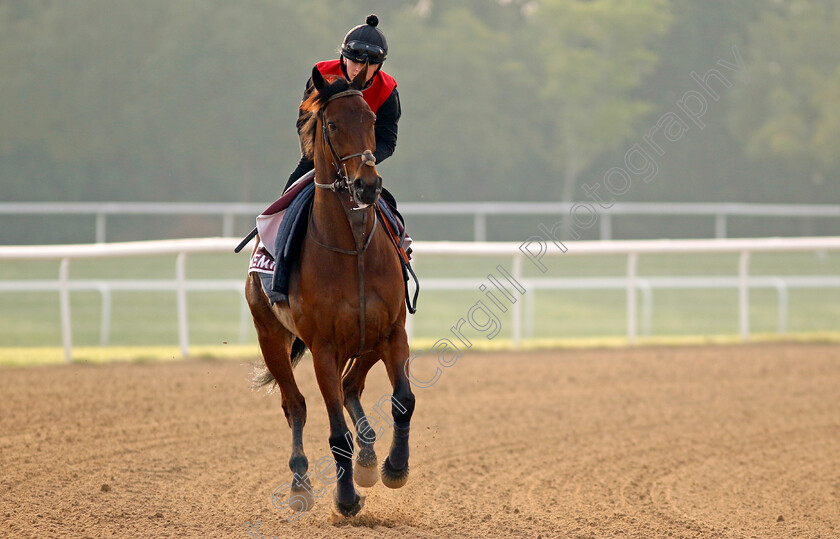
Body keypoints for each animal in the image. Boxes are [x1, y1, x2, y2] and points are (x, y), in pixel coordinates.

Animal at [243, 63, 414, 520]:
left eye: (371, 120)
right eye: (332, 124)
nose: (367, 185)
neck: (352, 248)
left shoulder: (393, 330)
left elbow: (403, 400)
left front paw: (394, 467)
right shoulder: (323, 346)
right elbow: (336, 432)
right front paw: (346, 498)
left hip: (368, 340)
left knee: (351, 386)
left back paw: (369, 458)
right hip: (270, 335)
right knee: (296, 405)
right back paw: (301, 482)